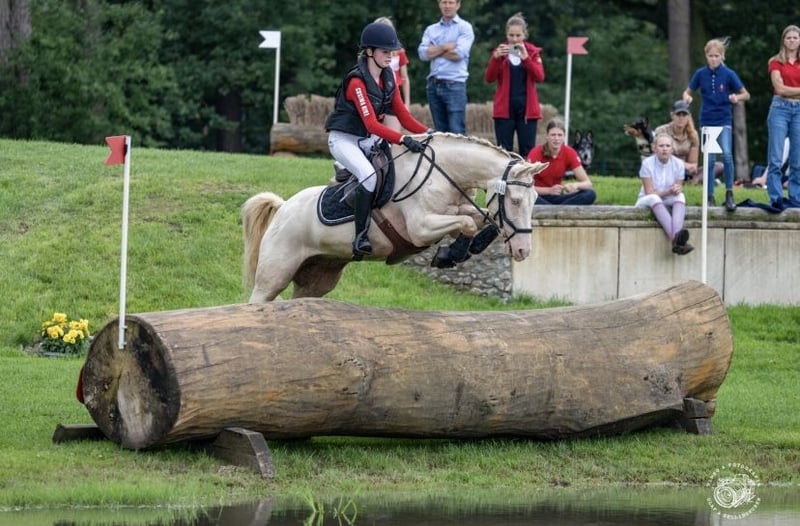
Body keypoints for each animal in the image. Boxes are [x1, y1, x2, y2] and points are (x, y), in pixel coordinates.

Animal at [242, 132, 546, 302]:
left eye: (535, 200)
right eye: (516, 201)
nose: (523, 251)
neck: (442, 172)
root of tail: (283, 207)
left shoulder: (453, 212)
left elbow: (480, 220)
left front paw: (455, 252)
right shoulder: (420, 228)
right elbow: (469, 223)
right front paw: (449, 254)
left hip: (318, 277)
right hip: (275, 273)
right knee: (258, 299)